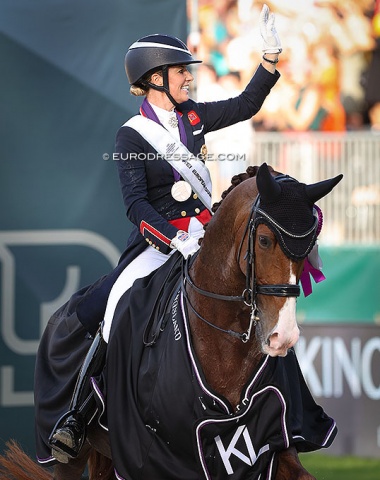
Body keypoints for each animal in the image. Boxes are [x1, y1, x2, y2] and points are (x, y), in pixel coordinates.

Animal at [0, 163, 342, 478]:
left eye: (310, 246)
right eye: (266, 241)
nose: (282, 336)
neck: (223, 339)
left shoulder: (274, 439)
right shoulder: (157, 458)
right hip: (68, 455)